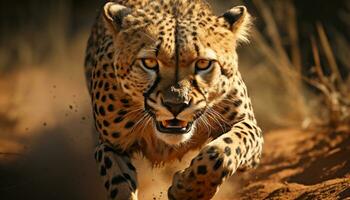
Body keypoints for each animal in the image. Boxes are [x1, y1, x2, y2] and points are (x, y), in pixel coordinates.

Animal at [85, 0, 264, 199]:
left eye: (203, 63)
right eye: (149, 63)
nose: (176, 105)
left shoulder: (248, 125)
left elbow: (222, 151)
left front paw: (189, 190)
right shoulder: (108, 145)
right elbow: (120, 184)